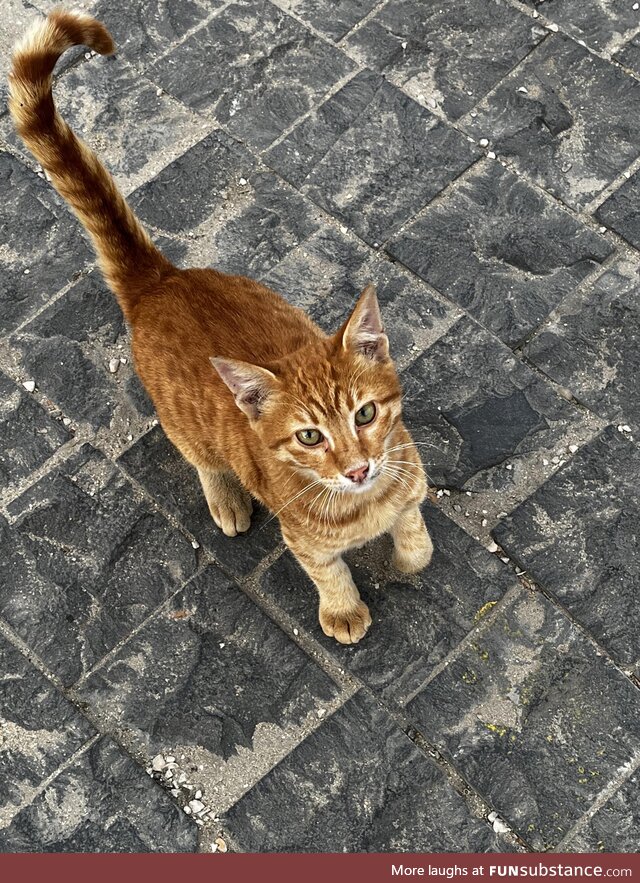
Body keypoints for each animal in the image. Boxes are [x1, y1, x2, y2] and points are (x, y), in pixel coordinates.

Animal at [8, 6, 430, 644]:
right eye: (310, 437)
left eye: (366, 415)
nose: (357, 468)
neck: (366, 501)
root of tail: (162, 280)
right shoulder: (304, 539)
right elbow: (328, 570)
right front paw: (343, 609)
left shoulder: (410, 473)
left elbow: (418, 539)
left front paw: (406, 555)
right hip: (185, 422)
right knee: (201, 457)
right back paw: (225, 498)